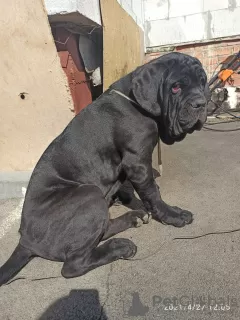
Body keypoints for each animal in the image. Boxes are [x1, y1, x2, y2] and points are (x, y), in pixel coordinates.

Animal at [0, 52, 209, 284]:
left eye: (202, 82)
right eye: (176, 87)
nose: (201, 103)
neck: (137, 103)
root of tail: (25, 240)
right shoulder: (137, 161)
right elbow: (152, 193)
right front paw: (171, 214)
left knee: (102, 229)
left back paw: (133, 218)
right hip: (89, 194)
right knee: (73, 265)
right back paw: (120, 246)